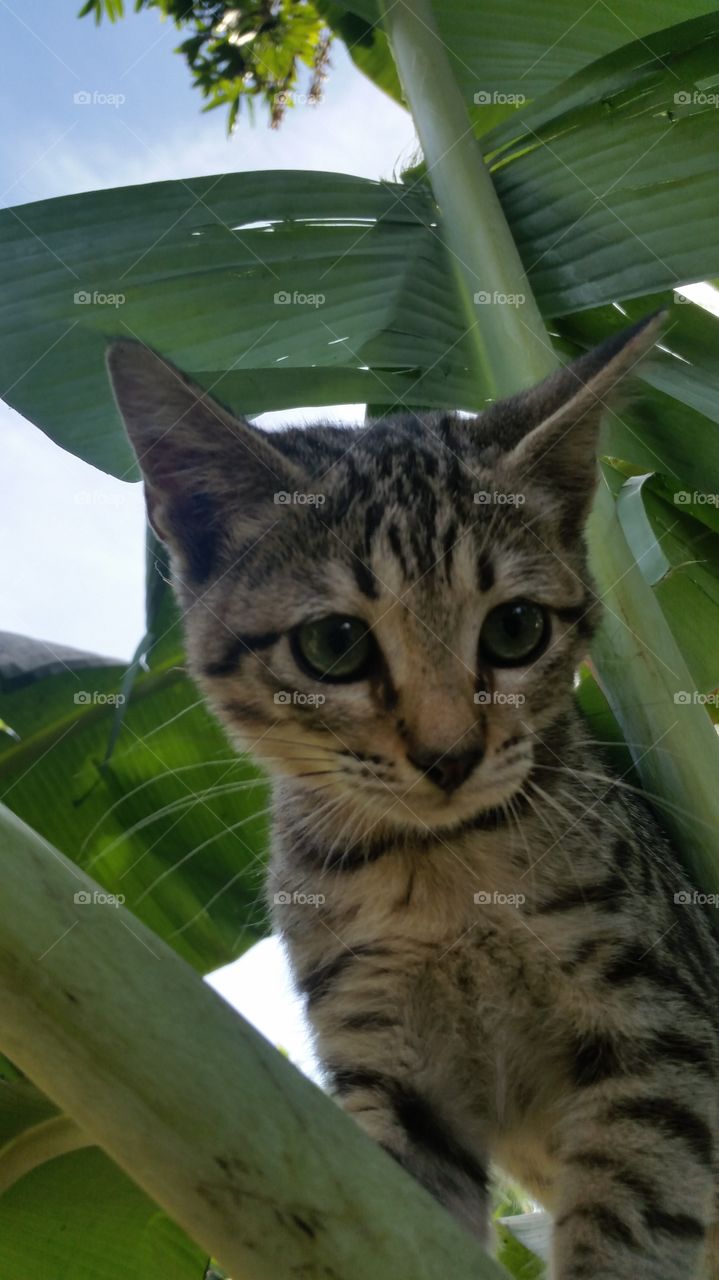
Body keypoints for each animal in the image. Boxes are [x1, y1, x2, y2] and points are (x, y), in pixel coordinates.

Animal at [107, 309, 716, 1280]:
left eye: (515, 628)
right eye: (332, 646)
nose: (449, 755)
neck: (443, 877)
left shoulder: (659, 1027)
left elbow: (630, 1226)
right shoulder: (383, 1062)